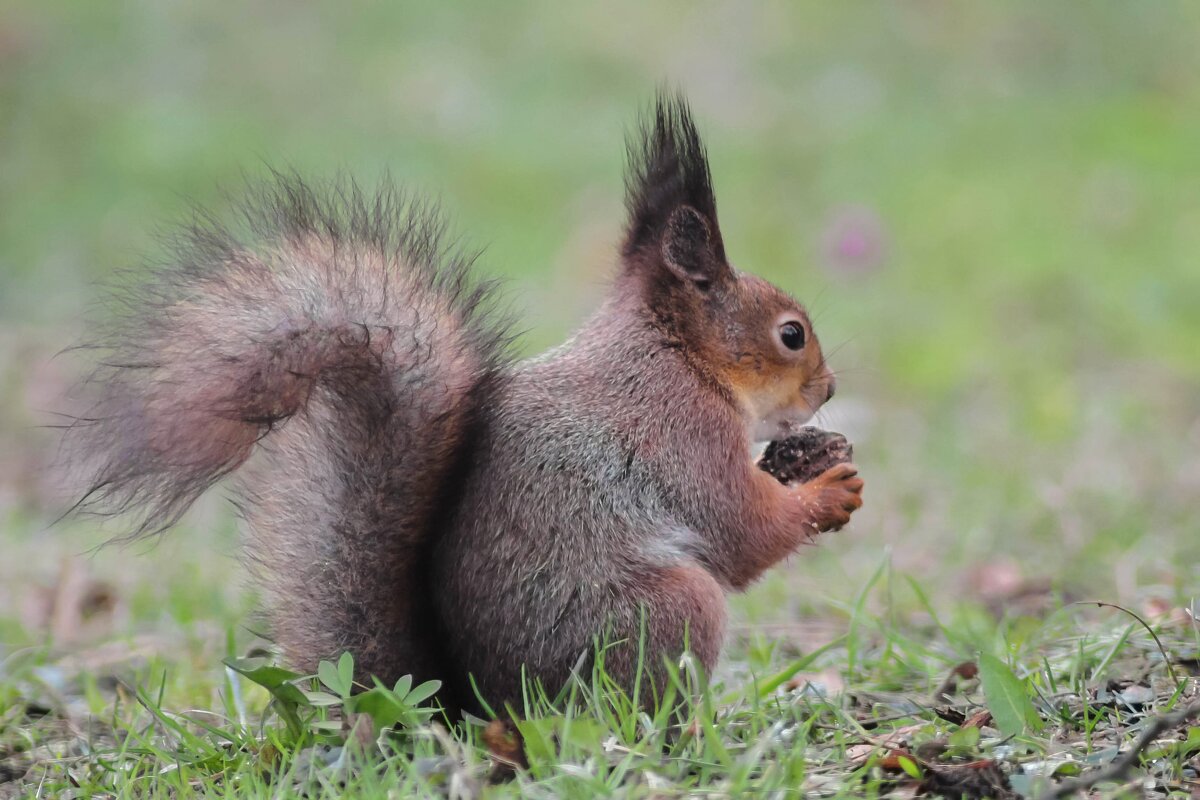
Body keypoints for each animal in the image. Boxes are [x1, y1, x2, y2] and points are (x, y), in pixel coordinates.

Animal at [65, 94, 864, 714]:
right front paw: (828, 490)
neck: (678, 357)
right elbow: (739, 532)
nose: (829, 390)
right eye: (791, 335)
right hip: (667, 611)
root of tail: (472, 706)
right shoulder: (681, 429)